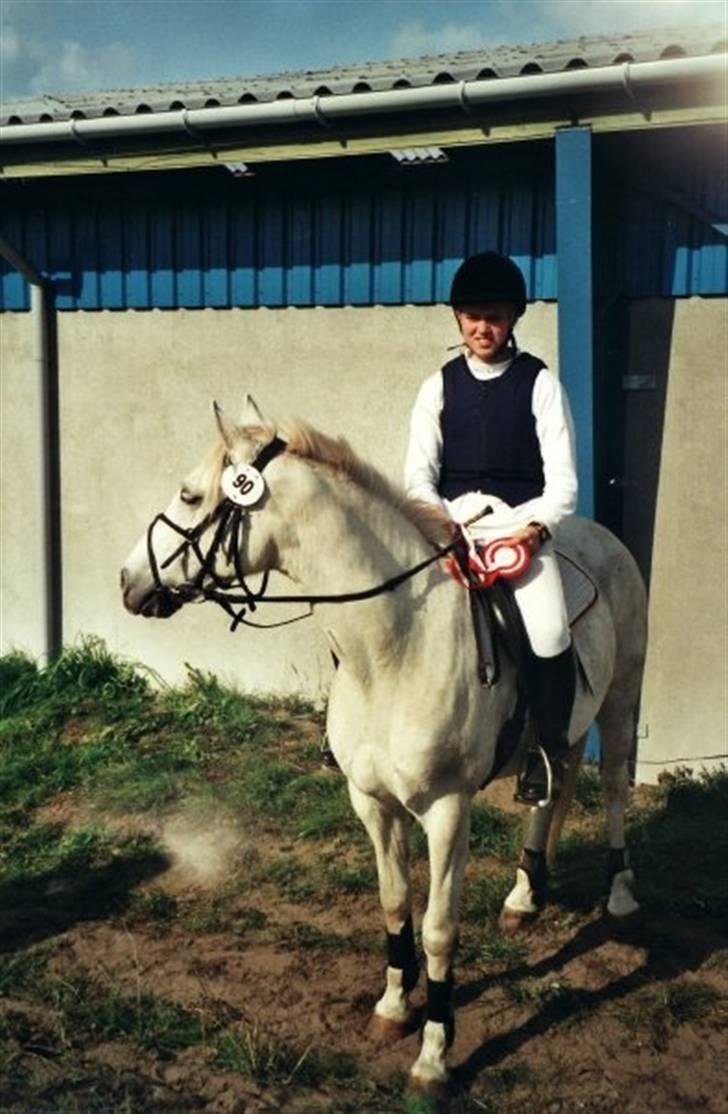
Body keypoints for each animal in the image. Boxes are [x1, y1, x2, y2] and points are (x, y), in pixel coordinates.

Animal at [121, 398, 650, 1087]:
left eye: (189, 495)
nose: (128, 580)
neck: (392, 649)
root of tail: (604, 537)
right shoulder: (372, 802)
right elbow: (395, 904)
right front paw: (395, 1006)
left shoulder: (447, 811)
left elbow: (438, 929)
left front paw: (434, 1054)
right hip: (564, 733)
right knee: (553, 789)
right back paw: (525, 894)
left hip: (620, 699)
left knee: (612, 787)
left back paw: (620, 891)